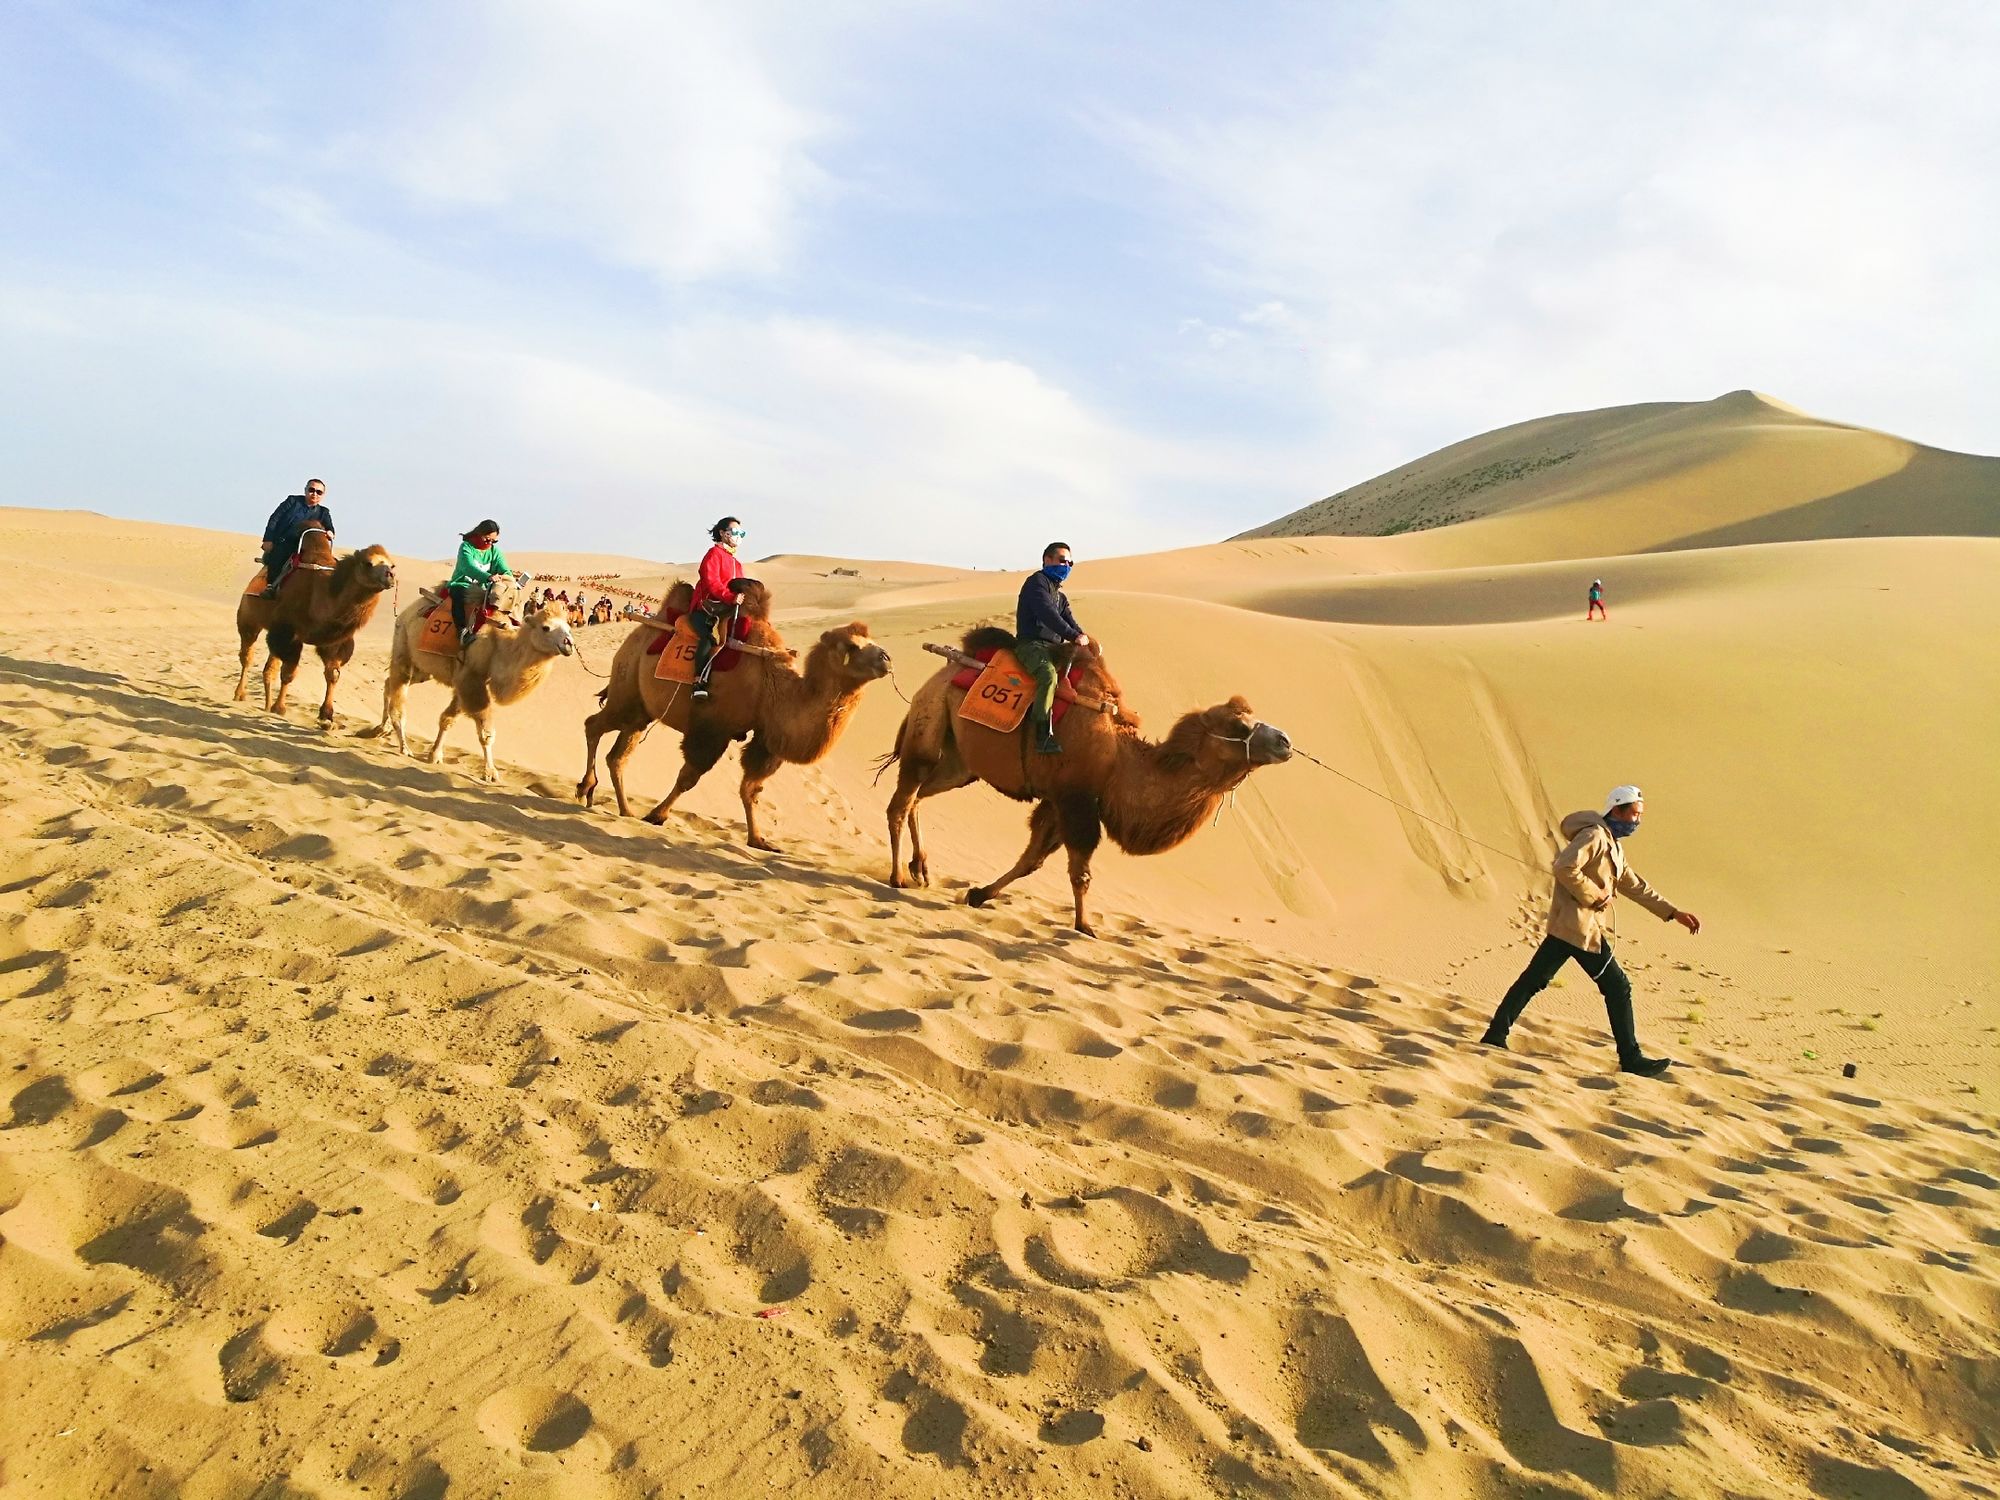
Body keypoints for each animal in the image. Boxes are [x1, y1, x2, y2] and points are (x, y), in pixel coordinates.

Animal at [234, 528, 398, 728]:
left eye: (392, 565)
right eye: (368, 563)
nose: (390, 575)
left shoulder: (333, 641)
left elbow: (332, 674)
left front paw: (326, 715)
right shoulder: (290, 633)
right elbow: (289, 672)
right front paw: (280, 708)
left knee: (269, 668)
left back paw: (265, 705)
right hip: (248, 618)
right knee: (247, 656)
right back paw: (240, 694)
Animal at [360, 584, 576, 780]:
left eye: (568, 627)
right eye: (546, 627)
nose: (569, 644)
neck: (500, 647)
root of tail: (407, 610)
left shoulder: (465, 682)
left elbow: (447, 719)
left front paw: (435, 755)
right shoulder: (471, 678)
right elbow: (486, 732)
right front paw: (490, 772)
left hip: (422, 671)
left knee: (388, 683)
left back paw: (381, 729)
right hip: (402, 643)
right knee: (398, 695)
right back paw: (404, 746)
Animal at [580, 580, 892, 852]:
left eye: (871, 640)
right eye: (850, 646)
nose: (886, 658)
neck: (772, 688)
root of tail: (638, 631)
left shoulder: (765, 739)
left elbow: (751, 788)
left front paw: (759, 840)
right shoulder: (713, 728)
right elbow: (689, 777)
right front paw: (657, 815)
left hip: (640, 709)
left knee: (618, 754)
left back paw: (625, 810)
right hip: (626, 689)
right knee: (593, 725)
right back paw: (586, 788)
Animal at [880, 628, 1288, 936]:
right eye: (1238, 726)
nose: (1284, 741)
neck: (1118, 760)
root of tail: (942, 671)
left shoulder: (1062, 800)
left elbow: (1032, 859)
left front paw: (979, 894)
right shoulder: (1075, 800)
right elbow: (1080, 872)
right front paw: (1085, 926)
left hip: (960, 764)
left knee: (920, 796)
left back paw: (921, 868)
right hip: (929, 723)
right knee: (902, 799)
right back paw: (898, 876)